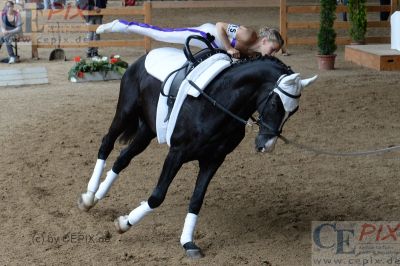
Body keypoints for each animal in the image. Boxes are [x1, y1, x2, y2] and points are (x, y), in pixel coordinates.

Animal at [76, 45, 318, 258]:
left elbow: (196, 200)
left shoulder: (214, 160)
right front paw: (125, 223)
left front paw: (188, 242)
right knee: (106, 144)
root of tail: (142, 58)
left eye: (294, 110)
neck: (218, 102)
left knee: (122, 158)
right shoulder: (177, 153)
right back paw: (88, 196)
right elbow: (157, 196)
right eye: (276, 103)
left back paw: (97, 196)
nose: (267, 145)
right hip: (125, 113)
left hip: (147, 131)